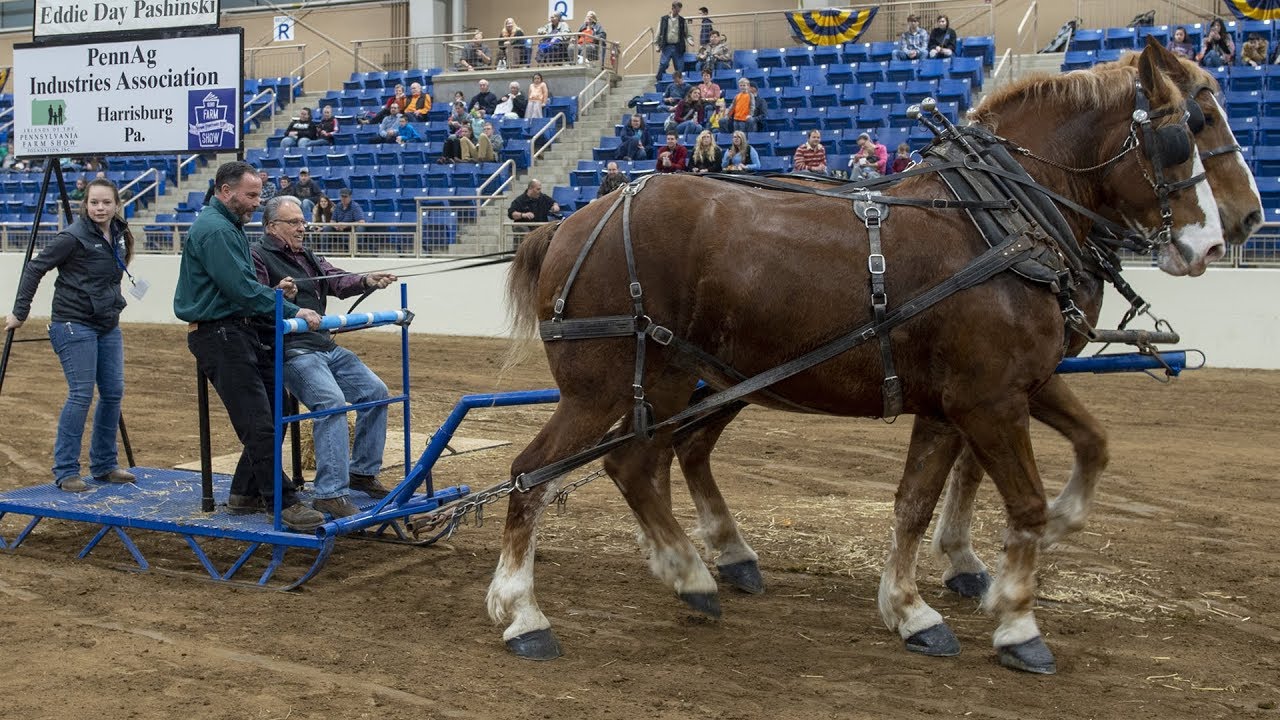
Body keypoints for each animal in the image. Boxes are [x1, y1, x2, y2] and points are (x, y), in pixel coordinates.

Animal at [489, 40, 1244, 674]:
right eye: (1192, 126)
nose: (1229, 234)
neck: (1000, 220)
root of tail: (573, 220)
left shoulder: (986, 392)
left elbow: (959, 487)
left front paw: (921, 607)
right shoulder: (989, 399)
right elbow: (1021, 503)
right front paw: (1015, 620)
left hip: (674, 382)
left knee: (640, 463)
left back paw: (692, 570)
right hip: (605, 390)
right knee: (535, 473)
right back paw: (525, 612)